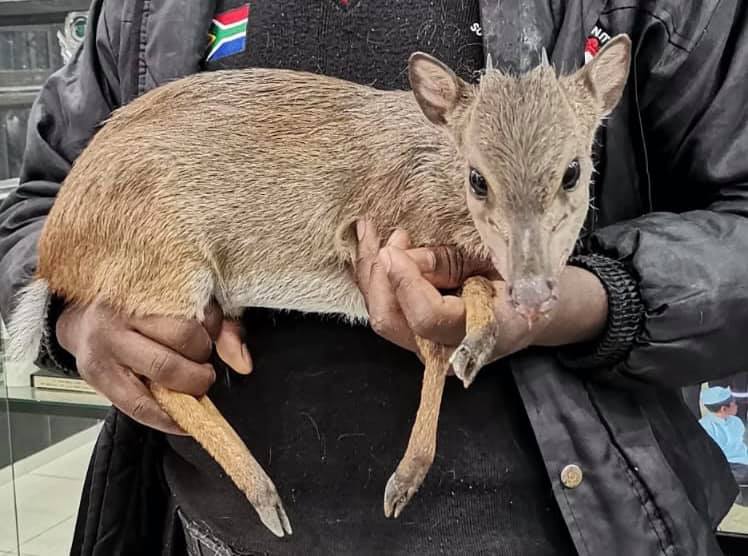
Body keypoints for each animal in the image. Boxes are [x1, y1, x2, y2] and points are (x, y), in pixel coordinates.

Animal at [8, 35, 632, 540]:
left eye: (574, 170)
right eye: (477, 178)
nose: (533, 292)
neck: (433, 173)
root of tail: (53, 256)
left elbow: (472, 297)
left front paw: (476, 347)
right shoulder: (390, 250)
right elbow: (432, 348)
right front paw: (403, 482)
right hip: (169, 267)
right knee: (165, 382)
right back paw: (270, 501)